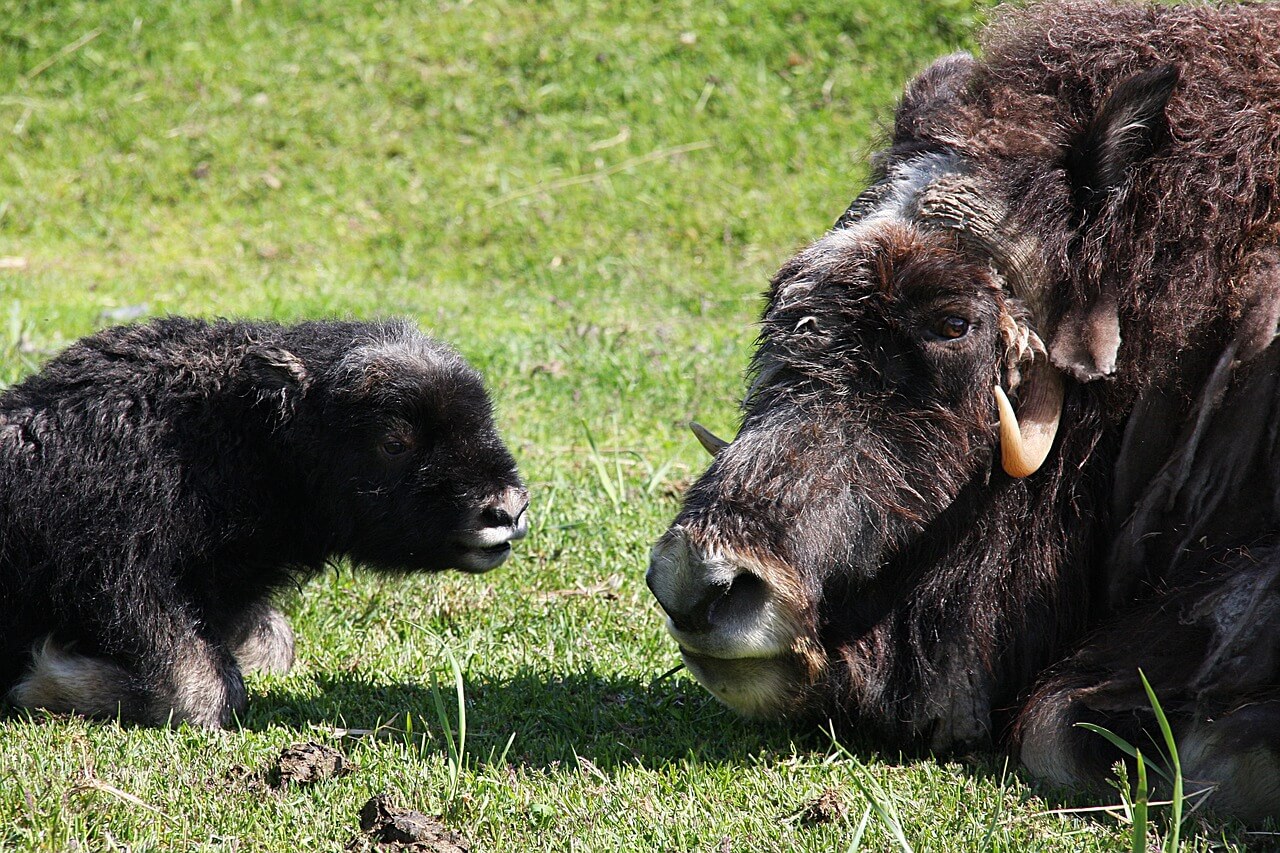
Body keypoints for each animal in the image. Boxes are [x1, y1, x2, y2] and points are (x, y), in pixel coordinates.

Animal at [0, 315, 524, 727]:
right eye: (395, 442)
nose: (508, 510)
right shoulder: (117, 577)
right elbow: (207, 690)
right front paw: (43, 679)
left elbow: (274, 644)